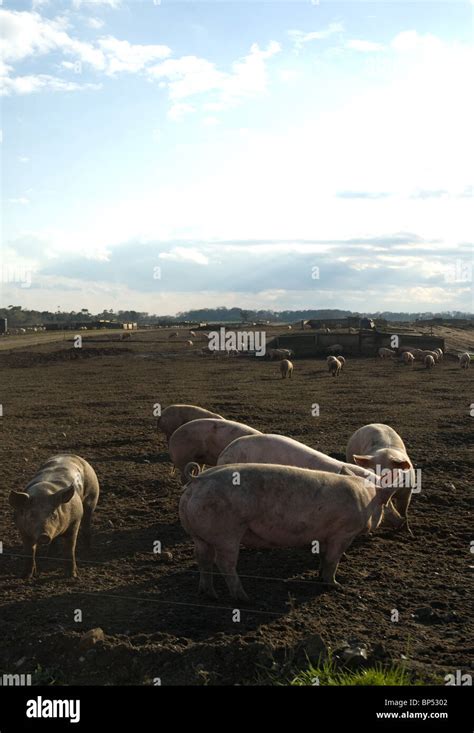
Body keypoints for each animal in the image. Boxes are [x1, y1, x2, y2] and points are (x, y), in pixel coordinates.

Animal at [180, 464, 398, 600]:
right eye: (387, 505)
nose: (400, 519)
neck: (366, 497)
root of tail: (198, 479)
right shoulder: (343, 533)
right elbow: (332, 559)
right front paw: (335, 585)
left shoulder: (324, 535)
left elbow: (323, 556)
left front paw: (319, 577)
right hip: (228, 533)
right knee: (224, 563)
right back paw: (244, 598)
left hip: (199, 536)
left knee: (203, 559)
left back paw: (209, 594)